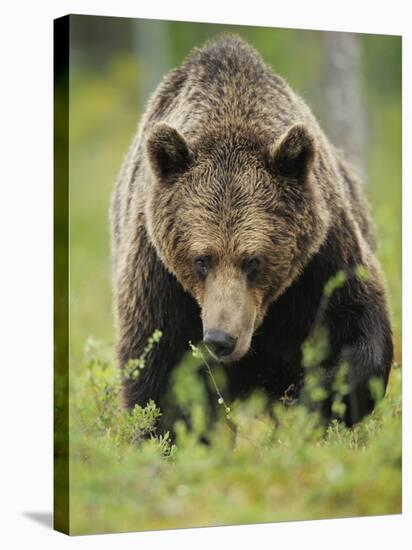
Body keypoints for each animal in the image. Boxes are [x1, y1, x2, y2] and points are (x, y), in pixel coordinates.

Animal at [110, 36, 392, 430]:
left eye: (253, 260)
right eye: (201, 260)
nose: (220, 339)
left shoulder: (322, 255)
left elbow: (357, 324)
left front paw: (313, 402)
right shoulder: (157, 270)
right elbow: (157, 369)